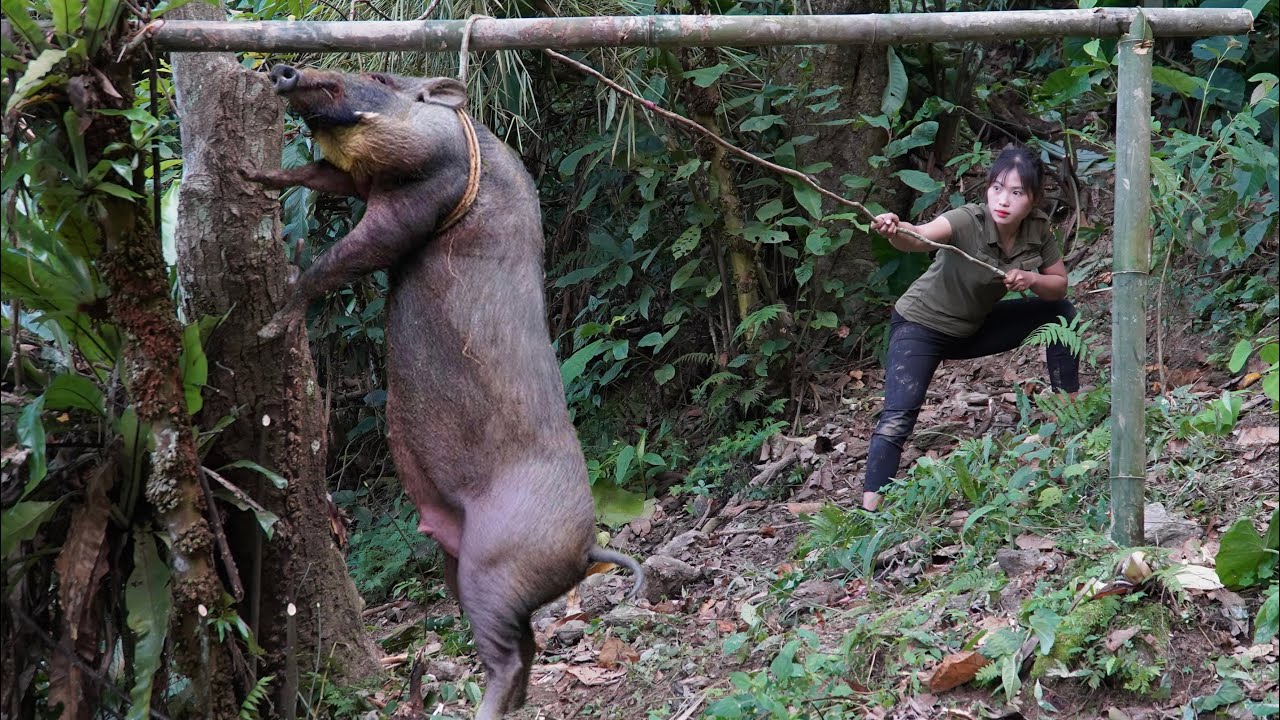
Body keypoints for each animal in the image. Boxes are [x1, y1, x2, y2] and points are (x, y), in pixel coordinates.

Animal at [243, 65, 643, 719]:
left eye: (379, 77)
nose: (286, 70)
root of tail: (588, 548)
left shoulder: (421, 192)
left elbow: (345, 258)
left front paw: (270, 327)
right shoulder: (363, 180)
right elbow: (318, 174)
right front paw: (257, 175)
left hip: (493, 567)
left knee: (510, 657)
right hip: (461, 563)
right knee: (528, 649)